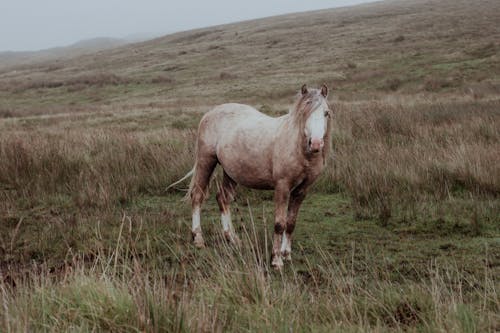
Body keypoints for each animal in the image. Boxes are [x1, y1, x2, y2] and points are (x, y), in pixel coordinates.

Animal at [170, 84, 334, 268]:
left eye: (326, 113)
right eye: (304, 112)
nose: (316, 144)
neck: (299, 149)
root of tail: (211, 112)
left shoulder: (302, 190)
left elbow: (291, 223)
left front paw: (286, 255)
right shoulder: (282, 187)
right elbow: (280, 224)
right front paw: (276, 260)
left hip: (231, 172)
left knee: (223, 199)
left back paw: (232, 238)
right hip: (206, 161)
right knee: (197, 196)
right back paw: (198, 239)